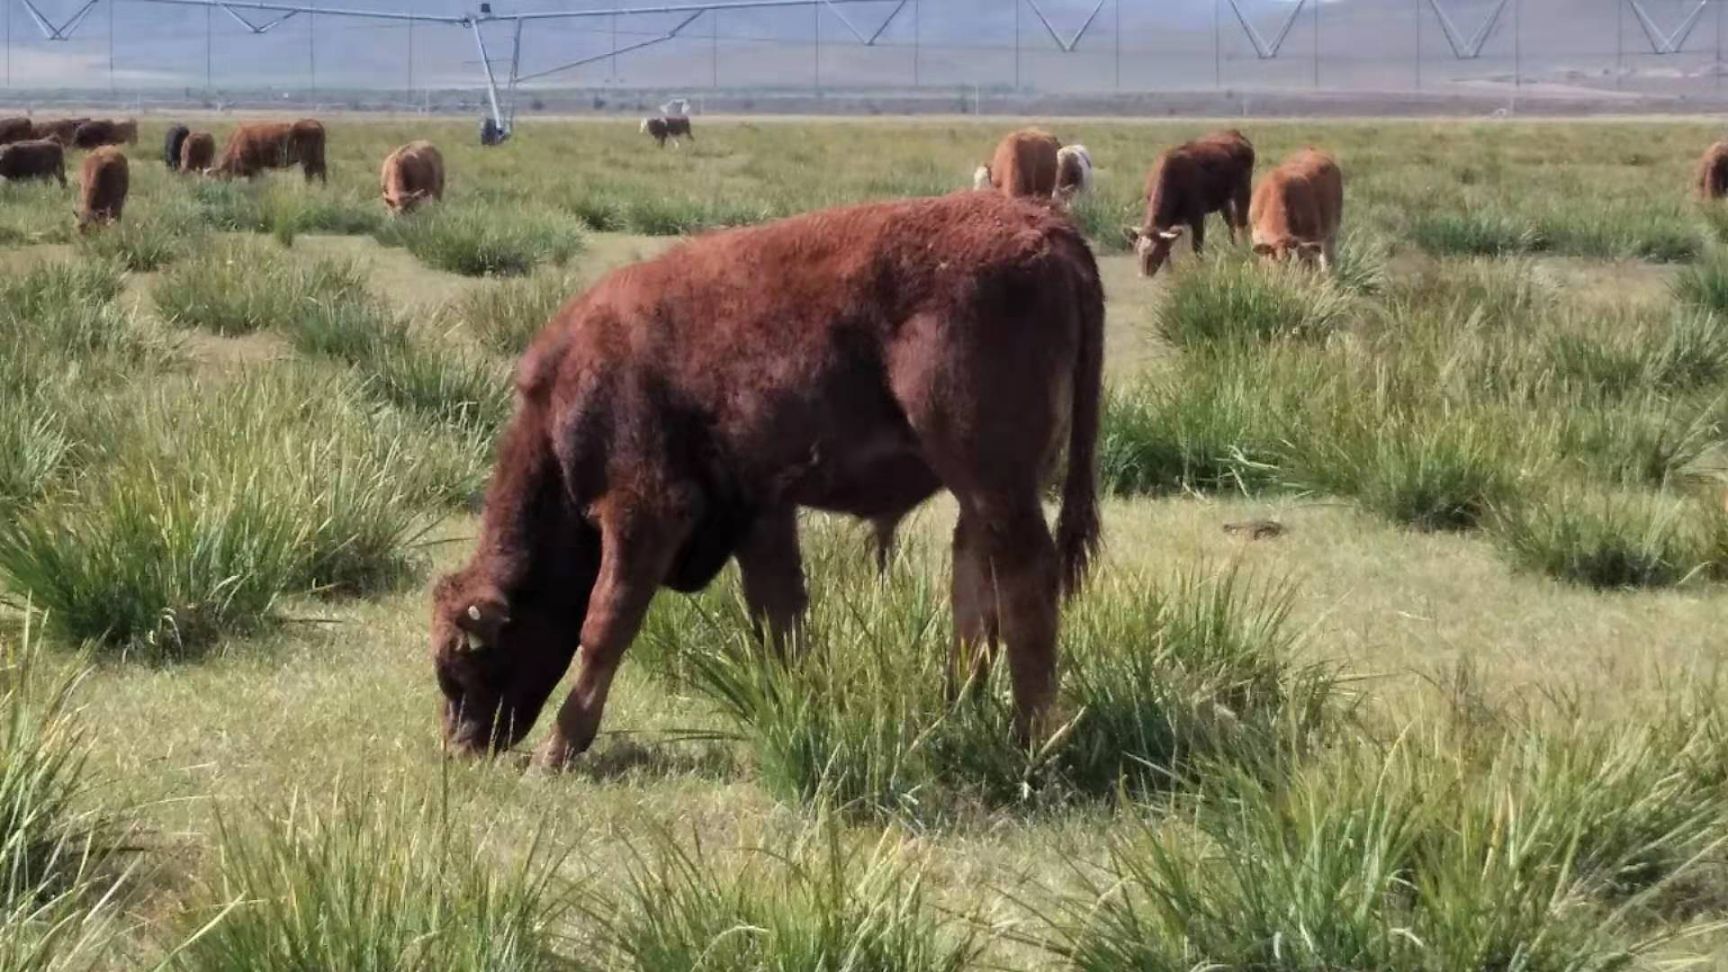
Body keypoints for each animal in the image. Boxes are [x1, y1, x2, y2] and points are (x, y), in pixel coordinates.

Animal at [432, 187, 1105, 764]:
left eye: (463, 667)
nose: (463, 746)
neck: (566, 396)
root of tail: (1049, 228)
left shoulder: (644, 512)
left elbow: (607, 623)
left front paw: (558, 750)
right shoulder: (759, 514)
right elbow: (779, 619)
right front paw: (795, 711)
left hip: (997, 483)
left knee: (1026, 579)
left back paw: (1033, 737)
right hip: (983, 491)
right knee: (976, 581)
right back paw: (953, 716)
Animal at [1119, 125, 1257, 276]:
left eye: (1155, 252)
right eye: (1137, 249)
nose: (1145, 273)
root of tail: (1233, 132)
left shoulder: (1197, 216)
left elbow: (1197, 245)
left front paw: (1199, 268)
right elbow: (1169, 249)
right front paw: (1169, 272)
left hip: (1243, 191)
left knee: (1240, 223)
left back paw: (1242, 250)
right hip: (1224, 200)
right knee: (1230, 223)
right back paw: (1233, 248)